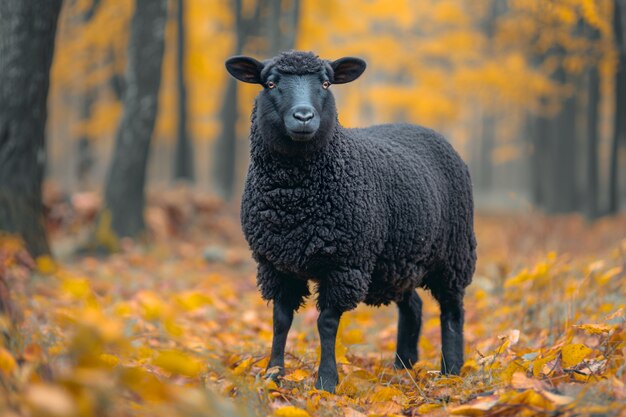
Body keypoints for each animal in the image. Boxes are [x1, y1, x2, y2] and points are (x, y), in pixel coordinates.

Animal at [224, 50, 472, 392]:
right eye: (270, 83)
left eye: (326, 83)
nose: (304, 116)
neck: (293, 201)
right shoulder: (274, 264)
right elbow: (280, 320)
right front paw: (273, 374)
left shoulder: (344, 264)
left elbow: (326, 323)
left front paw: (326, 381)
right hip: (396, 261)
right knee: (413, 306)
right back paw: (403, 365)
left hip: (454, 253)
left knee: (452, 309)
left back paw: (451, 369)